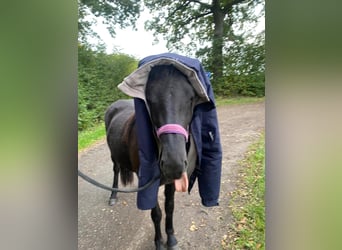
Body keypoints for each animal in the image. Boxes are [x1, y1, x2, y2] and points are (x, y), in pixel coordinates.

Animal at [105, 65, 199, 250]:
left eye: (191, 99)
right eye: (149, 100)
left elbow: (169, 208)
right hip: (114, 157)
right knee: (116, 170)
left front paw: (171, 239)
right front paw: (159, 242)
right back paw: (113, 196)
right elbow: (156, 213)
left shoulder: (170, 182)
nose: (173, 164)